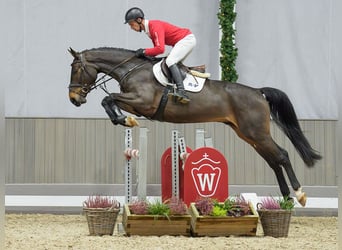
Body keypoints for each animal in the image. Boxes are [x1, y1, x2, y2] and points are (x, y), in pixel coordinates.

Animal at [68, 46, 322, 206]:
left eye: (76, 69)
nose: (74, 99)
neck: (132, 70)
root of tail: (259, 92)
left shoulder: (143, 102)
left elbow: (108, 98)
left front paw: (124, 119)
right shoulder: (136, 104)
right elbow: (109, 100)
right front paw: (123, 119)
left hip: (256, 134)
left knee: (282, 155)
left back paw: (299, 194)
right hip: (248, 135)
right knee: (273, 161)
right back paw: (286, 199)